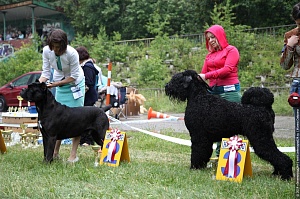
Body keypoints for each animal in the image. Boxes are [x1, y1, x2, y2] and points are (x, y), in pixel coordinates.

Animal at [164, 69, 292, 180]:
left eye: (176, 79)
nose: (167, 86)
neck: (198, 97)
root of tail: (266, 107)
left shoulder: (198, 137)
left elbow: (197, 152)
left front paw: (194, 167)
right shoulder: (205, 139)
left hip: (261, 139)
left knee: (280, 156)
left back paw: (286, 176)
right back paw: (277, 173)